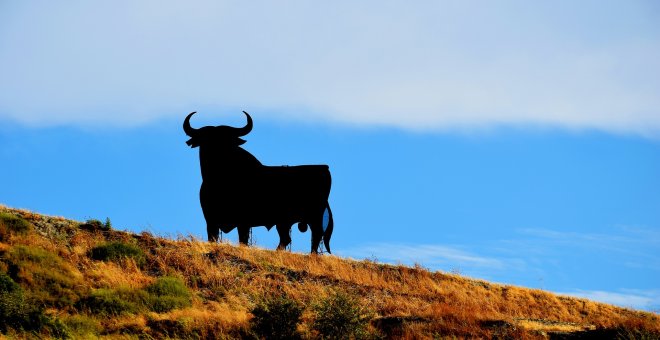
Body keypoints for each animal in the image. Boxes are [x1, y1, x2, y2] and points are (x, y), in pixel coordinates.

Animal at [183, 110, 332, 254]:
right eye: (205, 139)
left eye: (227, 140)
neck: (220, 179)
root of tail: (324, 168)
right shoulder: (211, 219)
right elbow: (212, 238)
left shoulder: (243, 221)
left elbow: (243, 240)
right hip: (284, 221)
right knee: (287, 238)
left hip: (314, 216)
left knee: (316, 235)